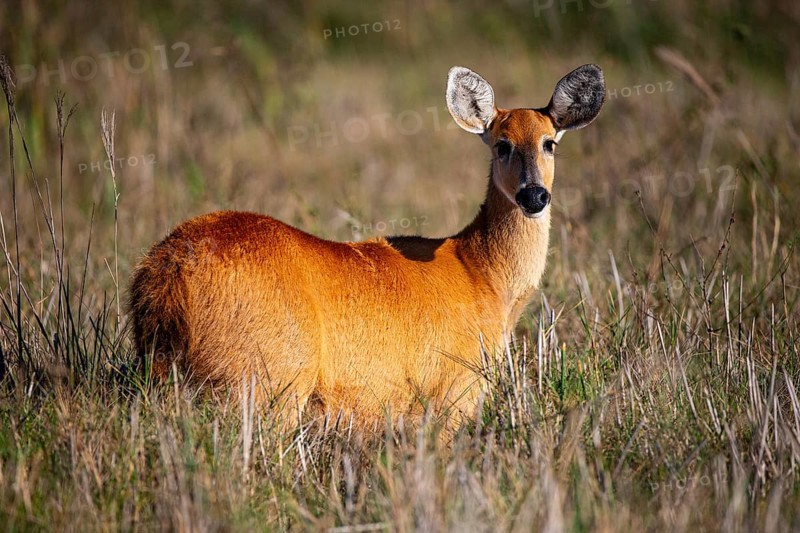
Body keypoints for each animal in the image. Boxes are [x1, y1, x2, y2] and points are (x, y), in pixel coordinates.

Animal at [130, 64, 604, 427]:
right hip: (266, 379)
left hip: (167, 371)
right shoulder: (456, 389)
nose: (534, 195)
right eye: (502, 145)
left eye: (549, 143)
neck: (482, 274)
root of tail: (169, 268)